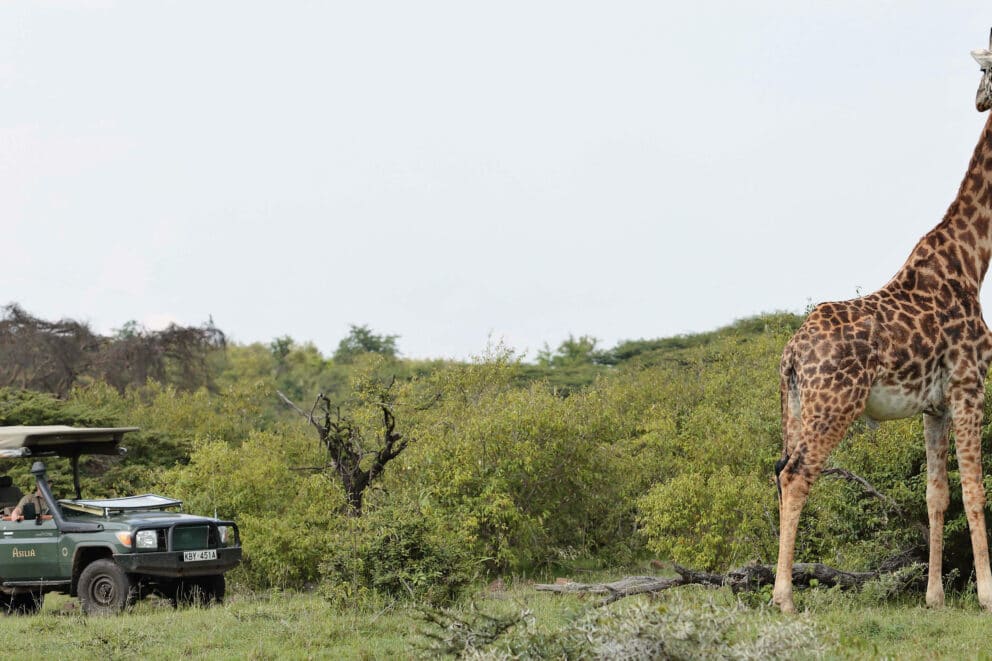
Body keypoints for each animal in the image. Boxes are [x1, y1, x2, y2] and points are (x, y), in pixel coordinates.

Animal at [772, 33, 992, 614]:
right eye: (984, 71)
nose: (980, 100)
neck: (973, 260)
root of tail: (791, 356)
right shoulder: (969, 385)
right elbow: (975, 489)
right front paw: (988, 595)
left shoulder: (935, 404)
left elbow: (937, 494)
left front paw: (935, 597)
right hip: (834, 405)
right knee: (796, 475)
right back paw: (783, 598)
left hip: (796, 408)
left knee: (780, 471)